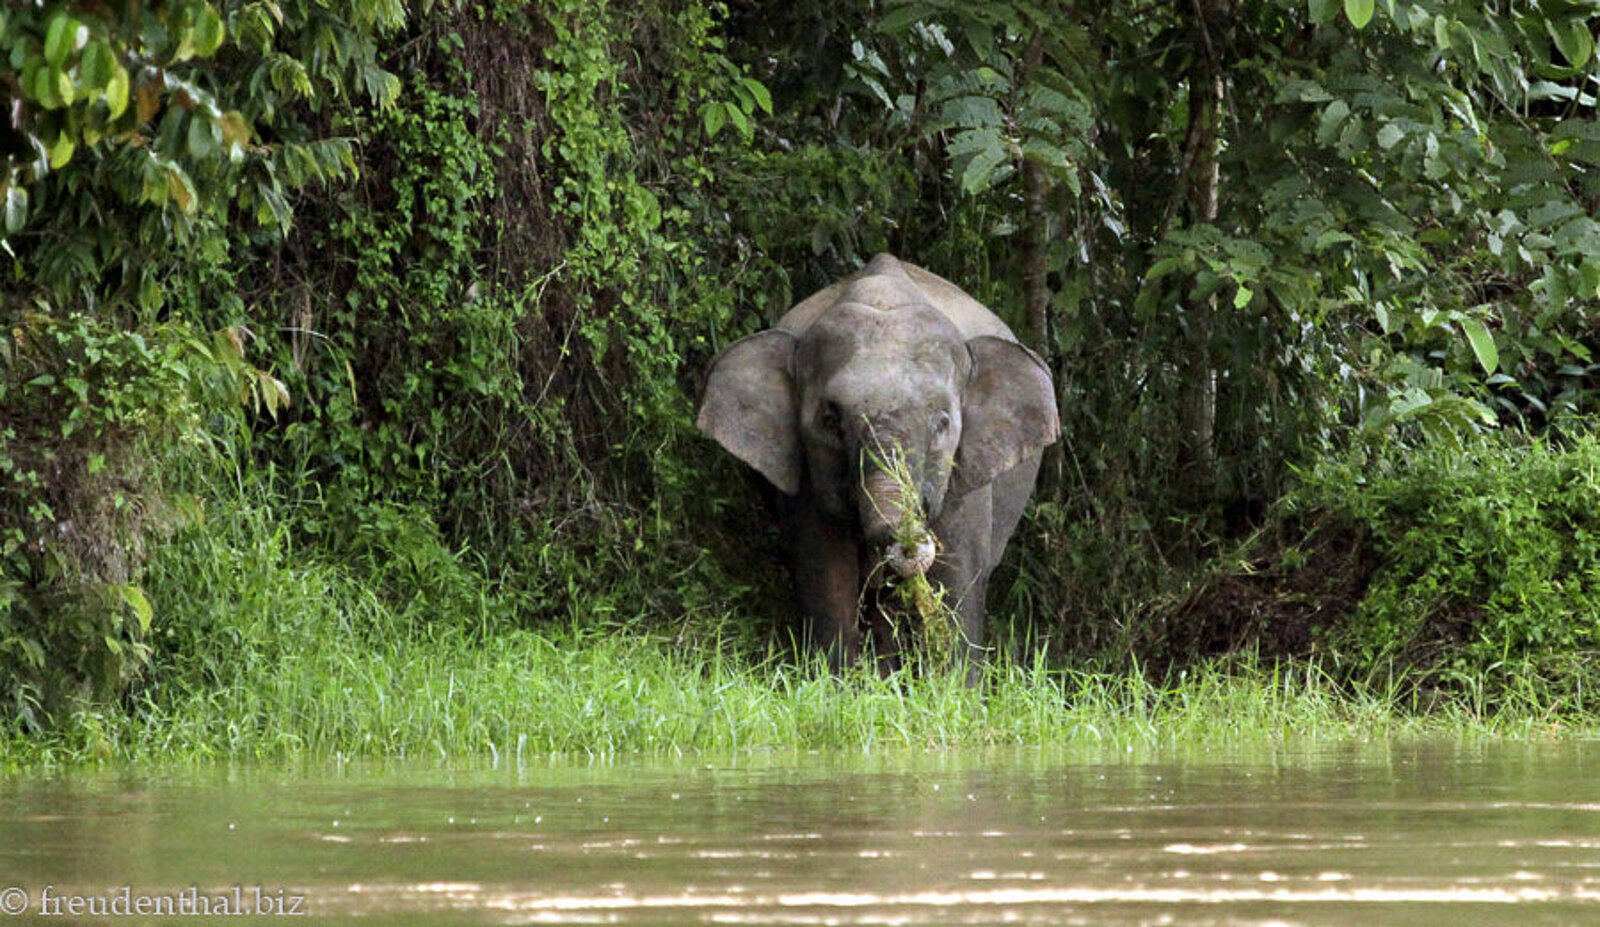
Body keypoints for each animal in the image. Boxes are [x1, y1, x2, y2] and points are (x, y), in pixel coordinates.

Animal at [697, 253, 1059, 679]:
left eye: (942, 423)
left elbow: (960, 575)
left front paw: (955, 687)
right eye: (830, 420)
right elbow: (824, 571)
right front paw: (833, 683)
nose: (907, 536)